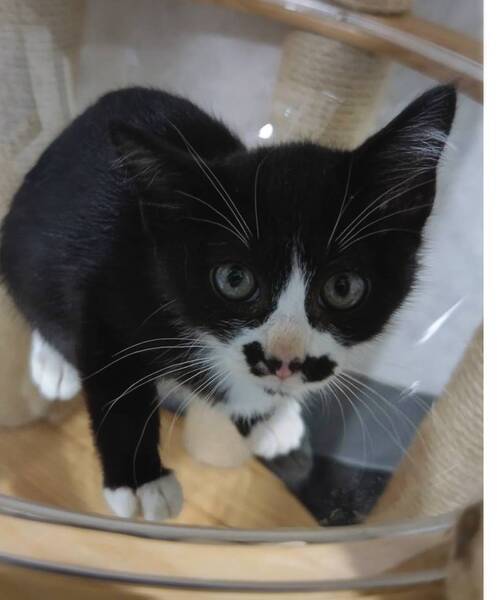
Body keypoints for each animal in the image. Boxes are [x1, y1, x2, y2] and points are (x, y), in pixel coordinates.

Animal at [0, 85, 455, 521]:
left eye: (342, 287)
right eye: (234, 279)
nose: (284, 361)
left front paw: (270, 415)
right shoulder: (109, 287)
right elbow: (114, 377)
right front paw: (141, 480)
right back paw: (55, 364)